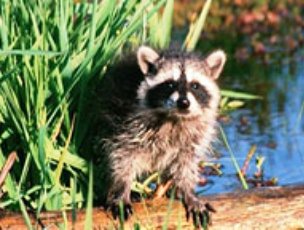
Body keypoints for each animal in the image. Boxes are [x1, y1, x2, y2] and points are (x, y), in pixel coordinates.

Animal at [92, 45, 226, 226]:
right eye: (169, 84)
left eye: (195, 85)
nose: (184, 103)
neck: (175, 117)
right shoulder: (126, 123)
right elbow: (123, 157)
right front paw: (122, 188)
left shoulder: (196, 134)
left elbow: (186, 162)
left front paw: (188, 191)